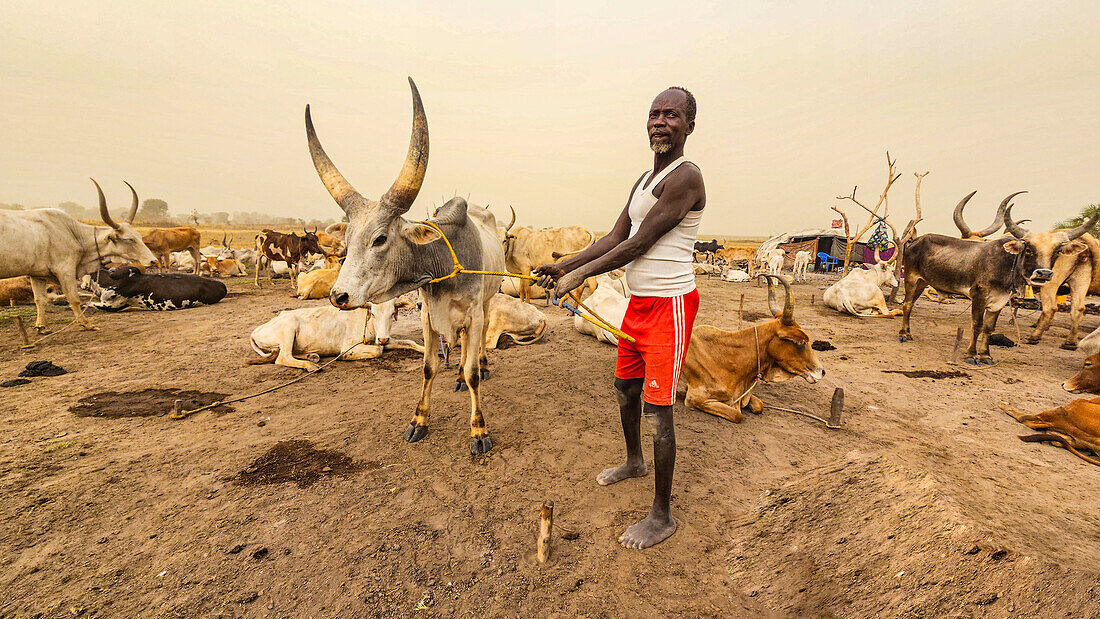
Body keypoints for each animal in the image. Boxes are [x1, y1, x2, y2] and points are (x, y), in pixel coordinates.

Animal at [0, 179, 159, 332]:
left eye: (139, 236)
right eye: (130, 239)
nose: (153, 261)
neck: (73, 233)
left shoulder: (37, 274)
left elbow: (40, 300)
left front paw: (41, 327)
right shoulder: (65, 270)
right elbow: (74, 299)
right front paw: (87, 324)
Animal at [247, 301, 422, 373]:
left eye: (392, 313)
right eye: (373, 313)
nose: (383, 339)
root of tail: (256, 331)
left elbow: (410, 342)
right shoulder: (350, 345)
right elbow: (377, 350)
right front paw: (344, 356)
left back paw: (312, 357)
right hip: (288, 329)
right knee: (283, 357)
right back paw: (310, 366)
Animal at [305, 76, 503, 455]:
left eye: (380, 238)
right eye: (347, 238)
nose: (339, 296)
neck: (442, 266)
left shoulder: (473, 313)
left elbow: (473, 370)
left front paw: (479, 430)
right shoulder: (429, 316)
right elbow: (428, 367)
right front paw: (419, 420)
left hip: (488, 302)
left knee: (480, 345)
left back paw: (481, 367)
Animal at [677, 277, 827, 426]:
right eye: (801, 342)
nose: (822, 371)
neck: (731, 360)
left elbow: (759, 405)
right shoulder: (694, 398)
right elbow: (737, 415)